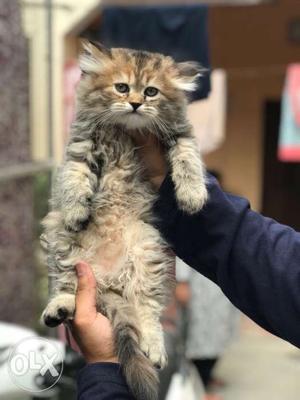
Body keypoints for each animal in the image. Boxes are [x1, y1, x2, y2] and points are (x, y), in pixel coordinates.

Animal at [41, 40, 207, 400]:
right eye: (121, 87)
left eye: (151, 91)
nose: (134, 103)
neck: (127, 133)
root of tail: (108, 283)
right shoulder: (82, 142)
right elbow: (75, 176)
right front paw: (76, 209)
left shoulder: (181, 134)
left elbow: (188, 159)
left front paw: (193, 195)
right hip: (62, 245)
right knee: (68, 287)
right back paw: (58, 307)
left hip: (147, 251)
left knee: (148, 312)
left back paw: (155, 348)